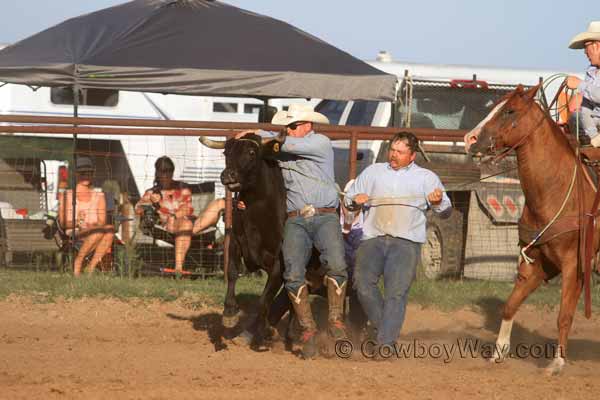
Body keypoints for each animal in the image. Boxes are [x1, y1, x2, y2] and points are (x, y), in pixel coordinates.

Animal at [464, 84, 596, 376]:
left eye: (510, 111)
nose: (470, 138)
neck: (556, 189)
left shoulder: (573, 264)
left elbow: (564, 315)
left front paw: (556, 363)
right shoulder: (537, 261)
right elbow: (510, 305)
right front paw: (498, 353)